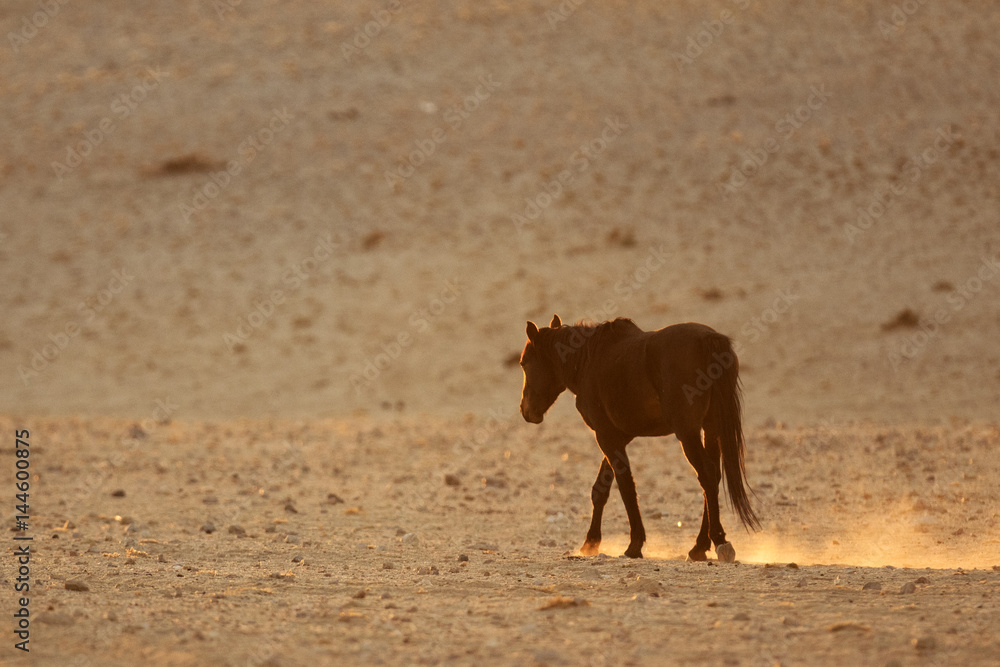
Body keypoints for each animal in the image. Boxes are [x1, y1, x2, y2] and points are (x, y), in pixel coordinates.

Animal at [518, 314, 760, 562]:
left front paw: (634, 545)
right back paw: (699, 547)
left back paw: (718, 541)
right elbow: (601, 489)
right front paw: (590, 543)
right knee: (711, 478)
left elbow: (626, 487)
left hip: (688, 433)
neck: (588, 361)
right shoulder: (619, 436)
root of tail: (708, 339)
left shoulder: (606, 435)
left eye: (524, 363)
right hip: (710, 429)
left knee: (707, 475)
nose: (526, 411)